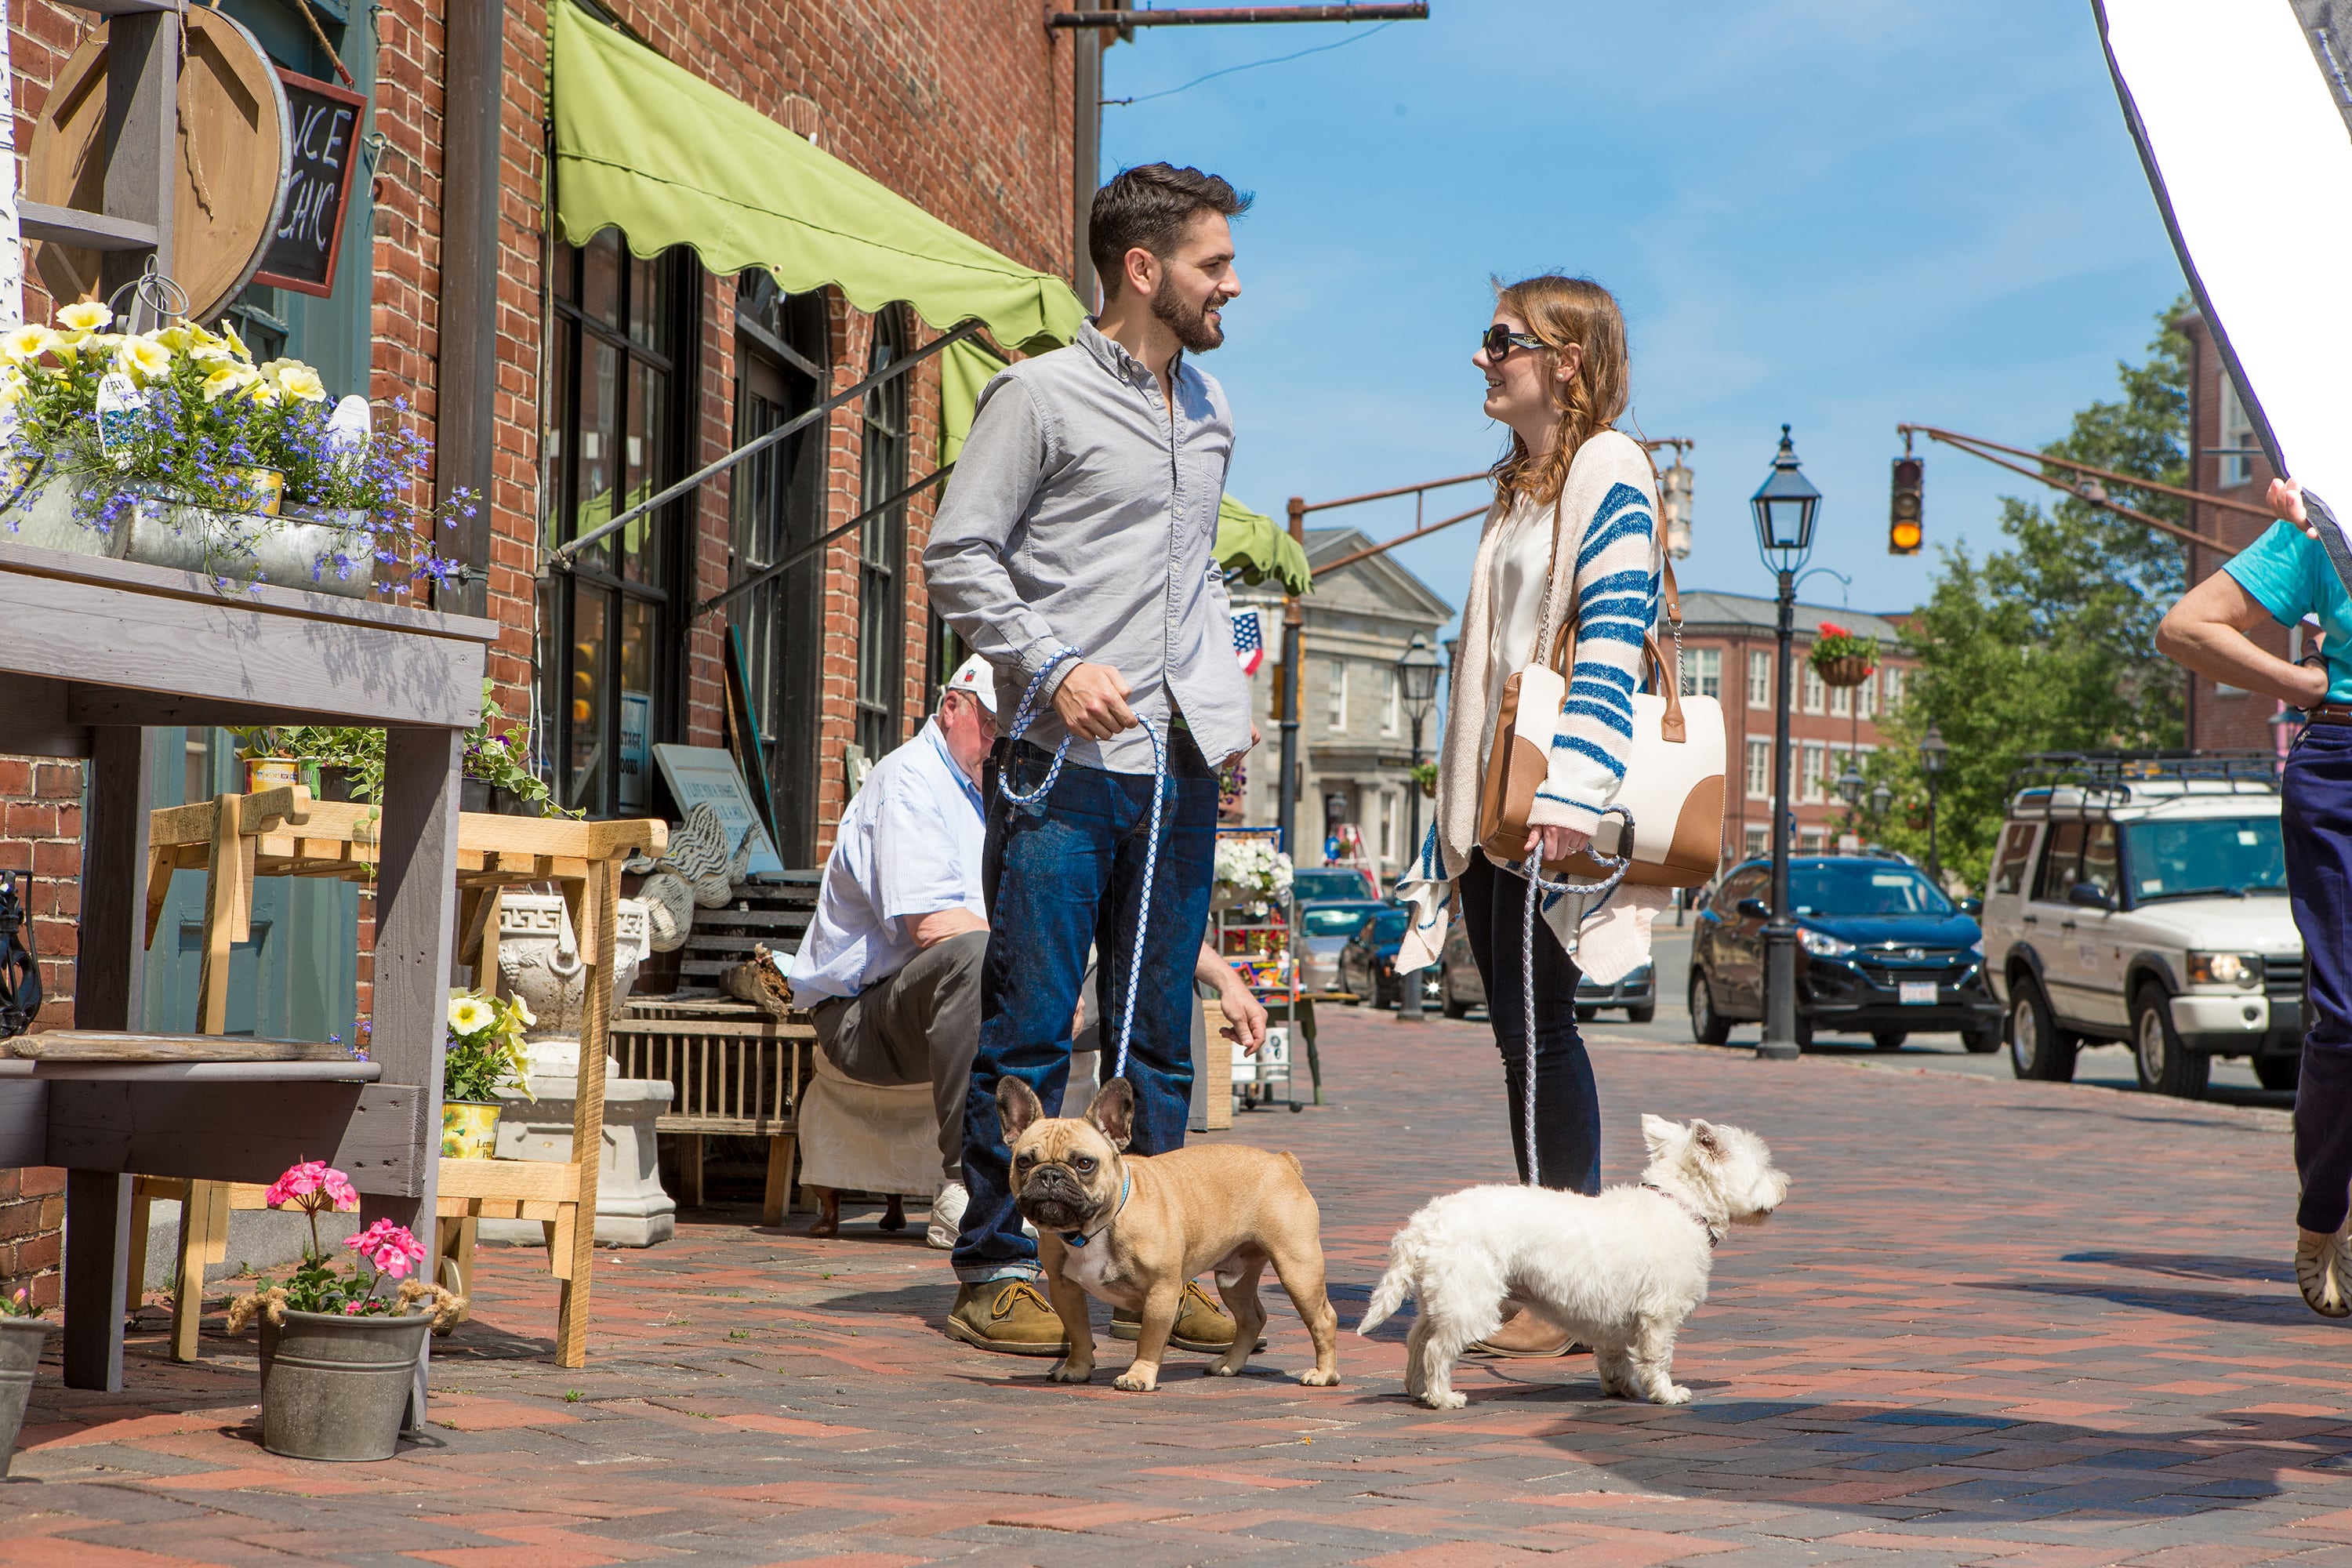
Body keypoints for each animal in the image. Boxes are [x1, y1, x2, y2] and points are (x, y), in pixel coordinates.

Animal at [1364, 1114, 1778, 1410]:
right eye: (1763, 1167)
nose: (1784, 1184)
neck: (1681, 1204)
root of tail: (1426, 1221)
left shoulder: (1616, 1317)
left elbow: (1615, 1357)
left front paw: (1621, 1388)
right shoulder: (1659, 1314)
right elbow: (1657, 1357)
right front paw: (1667, 1394)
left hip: (1441, 1296)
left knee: (1417, 1339)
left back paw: (1417, 1390)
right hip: (1470, 1298)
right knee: (1437, 1348)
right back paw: (1443, 1398)